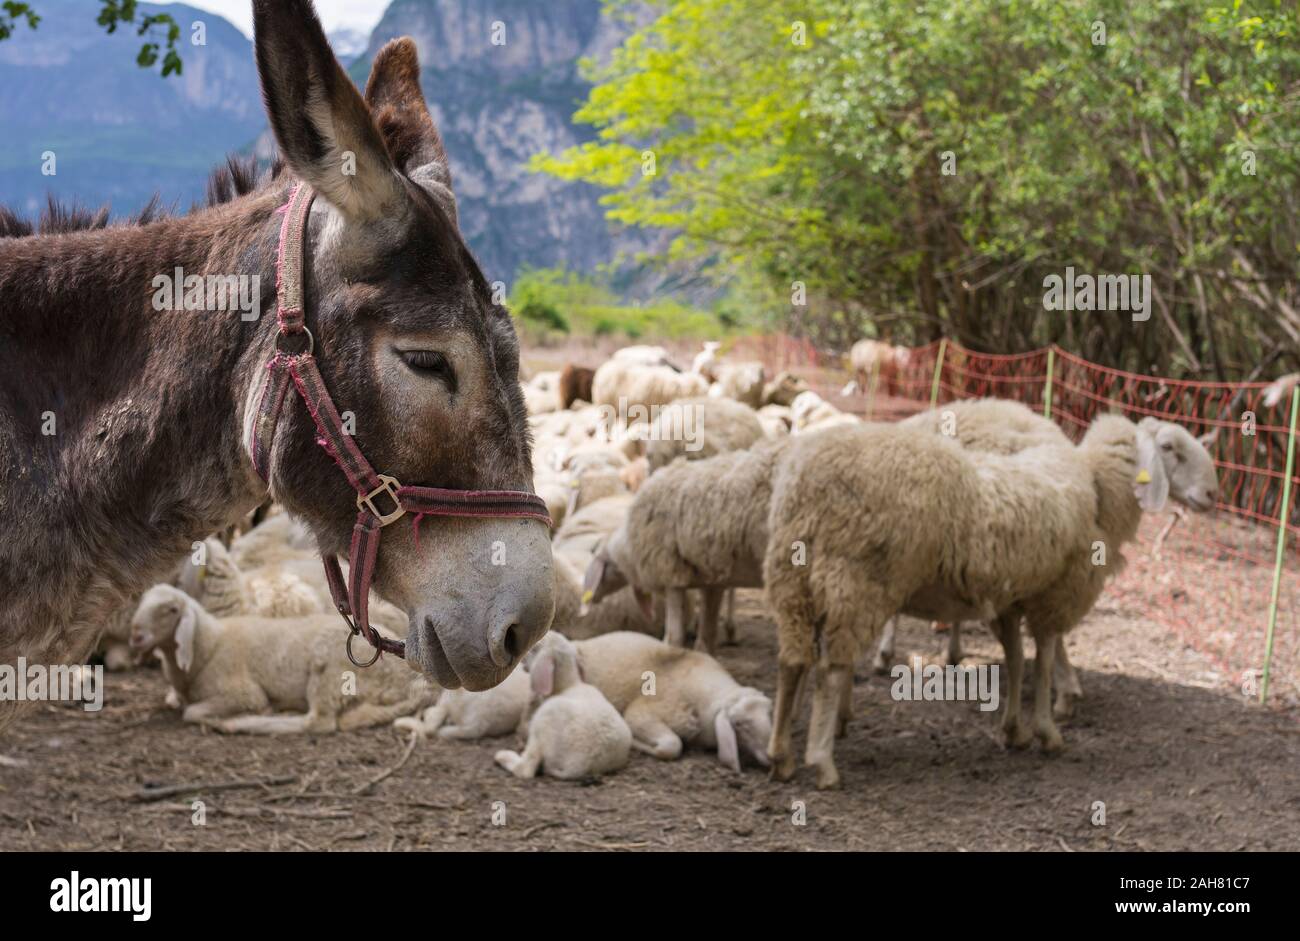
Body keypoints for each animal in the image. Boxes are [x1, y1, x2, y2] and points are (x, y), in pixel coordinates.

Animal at [132, 579, 436, 733]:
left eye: (171, 610)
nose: (136, 636)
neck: (210, 645)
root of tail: (414, 682)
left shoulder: (243, 692)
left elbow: (191, 711)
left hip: (332, 672)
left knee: (318, 722)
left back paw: (243, 723)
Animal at [491, 631, 629, 779]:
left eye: (534, 648)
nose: (520, 659)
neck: (569, 684)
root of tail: (579, 766)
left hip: (543, 720)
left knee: (526, 769)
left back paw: (503, 756)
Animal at [572, 631, 769, 769]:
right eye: (740, 724)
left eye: (769, 713)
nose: (771, 756)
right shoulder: (641, 712)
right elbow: (672, 745)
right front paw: (637, 743)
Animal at [759, 413, 1216, 785]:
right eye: (1171, 448)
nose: (1213, 495)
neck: (1097, 487)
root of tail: (807, 481)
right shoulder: (1055, 598)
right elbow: (1043, 662)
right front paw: (1048, 730)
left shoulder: (1010, 602)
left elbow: (1015, 660)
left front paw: (1014, 730)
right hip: (856, 581)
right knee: (829, 671)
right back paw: (822, 762)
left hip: (793, 578)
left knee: (792, 662)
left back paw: (780, 755)